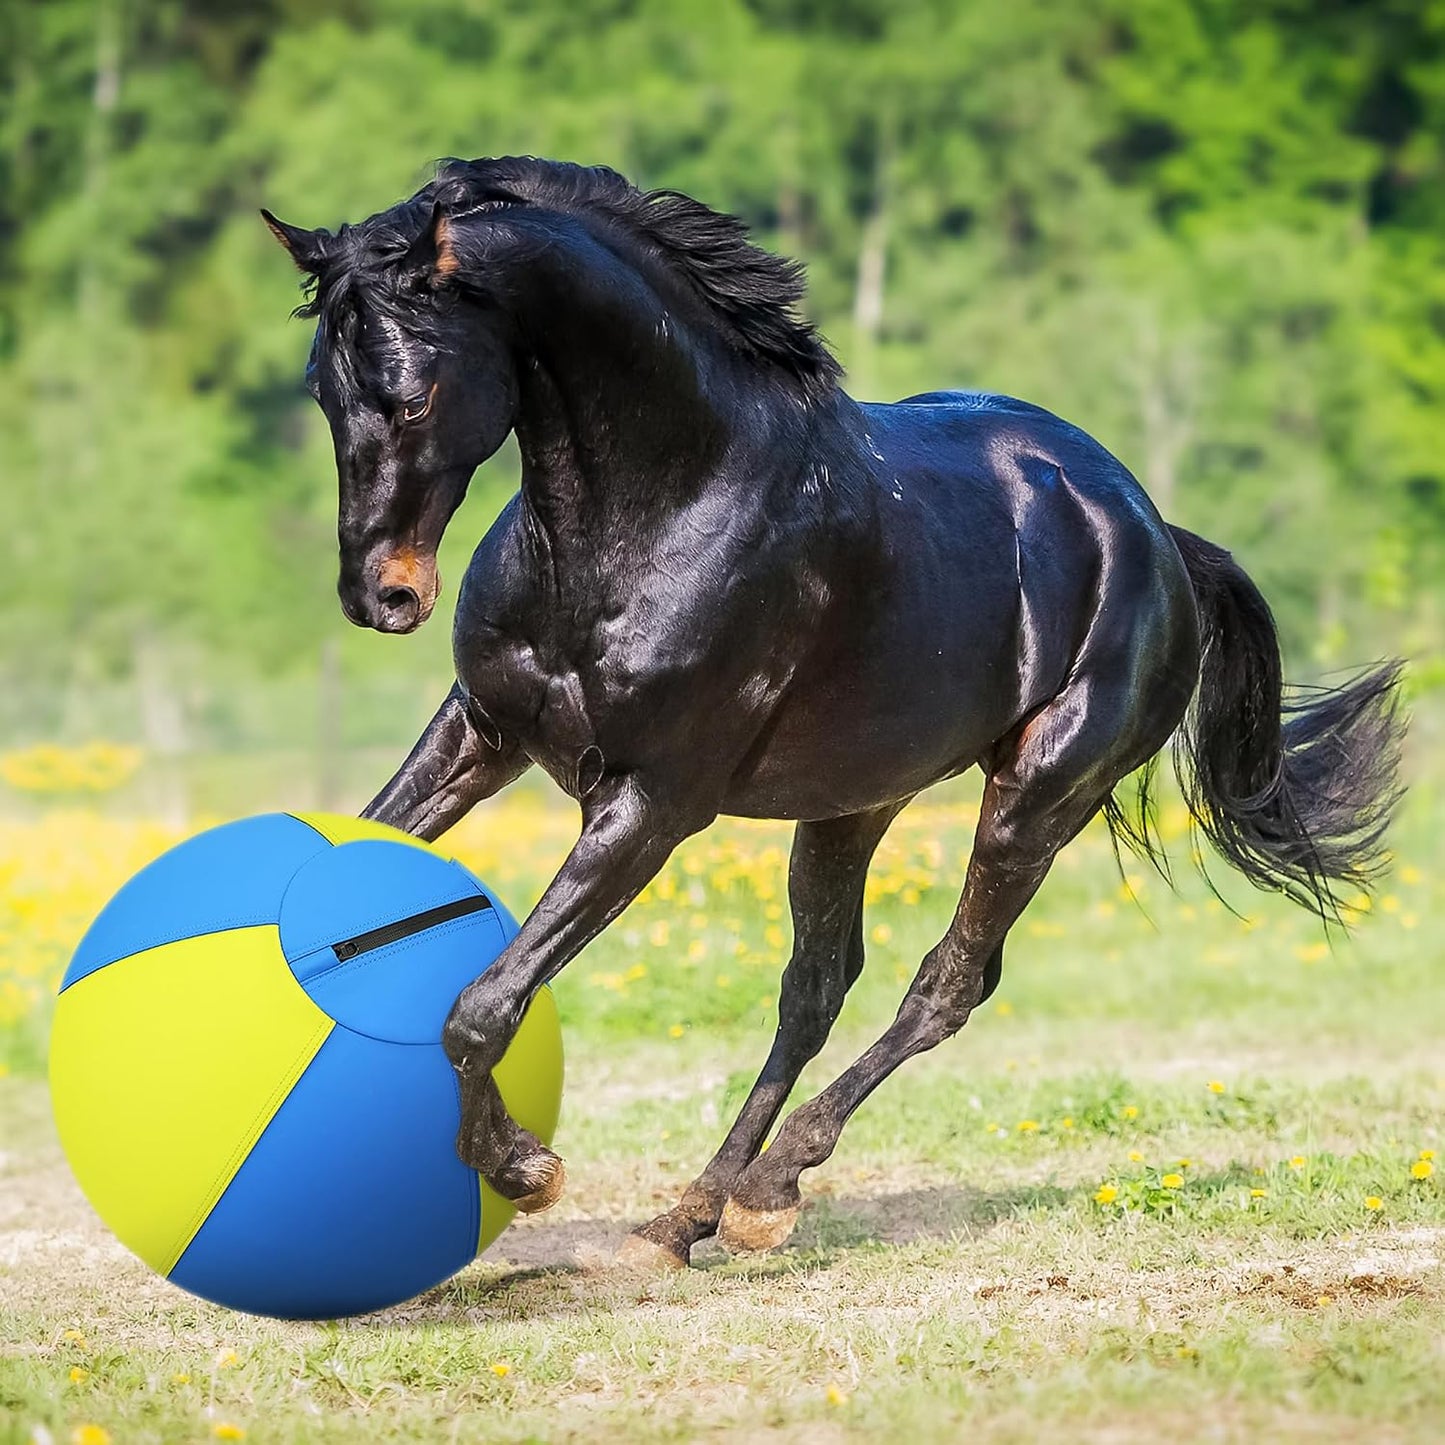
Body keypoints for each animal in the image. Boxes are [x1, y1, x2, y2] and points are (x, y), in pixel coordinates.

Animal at [263, 156, 1404, 1269]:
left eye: (412, 396)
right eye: (322, 389)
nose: (382, 595)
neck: (657, 504)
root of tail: (1156, 533)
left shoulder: (649, 805)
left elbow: (482, 1004)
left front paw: (524, 1167)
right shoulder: (482, 732)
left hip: (1040, 793)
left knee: (946, 982)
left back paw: (767, 1192)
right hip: (853, 803)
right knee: (815, 987)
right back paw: (686, 1217)